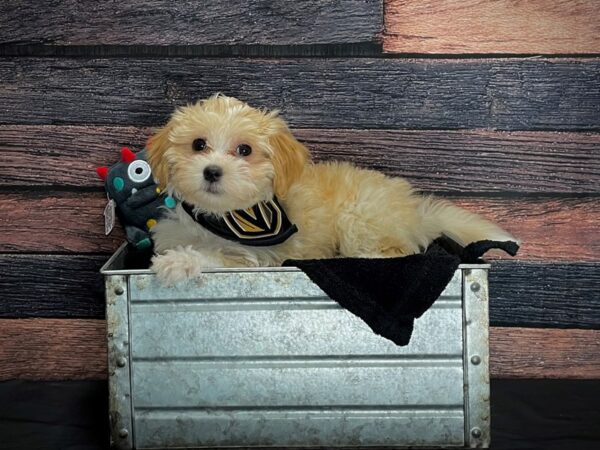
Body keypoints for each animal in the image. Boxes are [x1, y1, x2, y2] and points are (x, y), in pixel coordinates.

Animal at [146, 93, 516, 284]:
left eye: (244, 150)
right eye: (198, 145)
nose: (212, 171)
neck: (221, 217)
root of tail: (415, 212)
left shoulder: (255, 255)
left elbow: (217, 256)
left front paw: (179, 263)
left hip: (361, 216)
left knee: (400, 251)